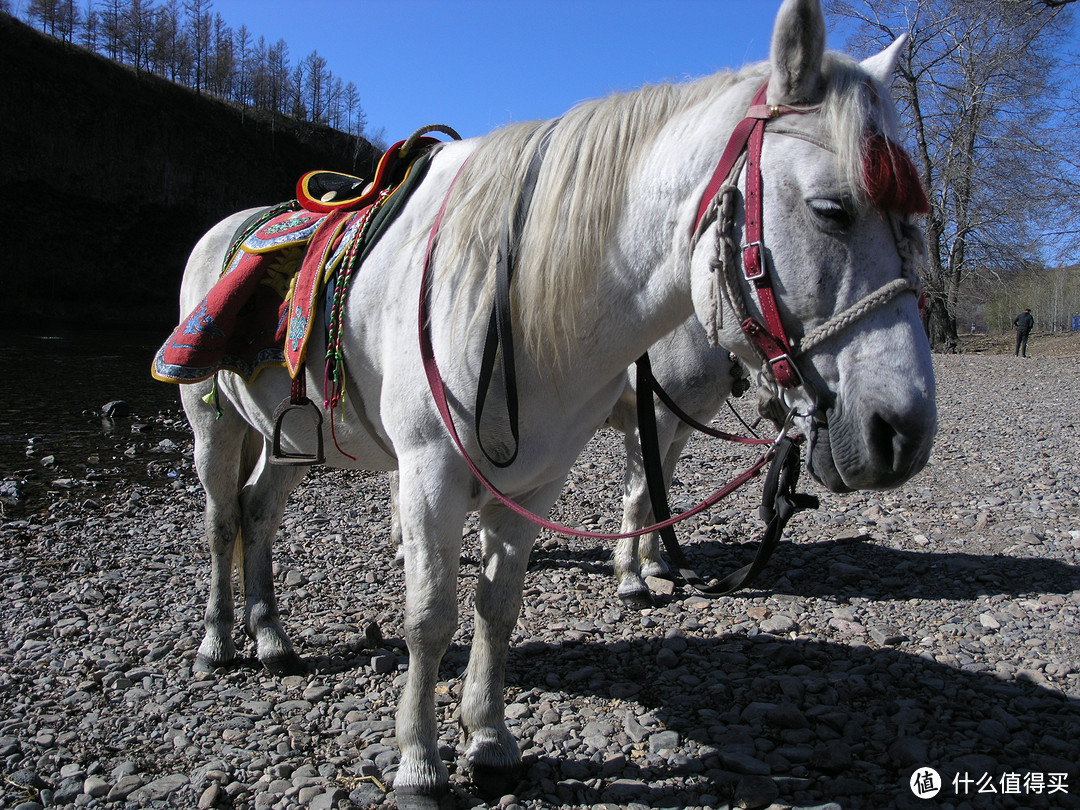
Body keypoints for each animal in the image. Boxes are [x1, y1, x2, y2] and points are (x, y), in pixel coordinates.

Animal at [172, 1, 933, 807]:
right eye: (831, 209)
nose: (901, 433)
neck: (508, 296)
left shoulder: (539, 479)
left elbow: (501, 605)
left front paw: (489, 741)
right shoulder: (440, 472)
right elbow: (431, 617)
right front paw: (419, 763)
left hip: (294, 436)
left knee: (260, 513)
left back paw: (271, 638)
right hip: (213, 422)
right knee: (224, 520)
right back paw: (219, 643)